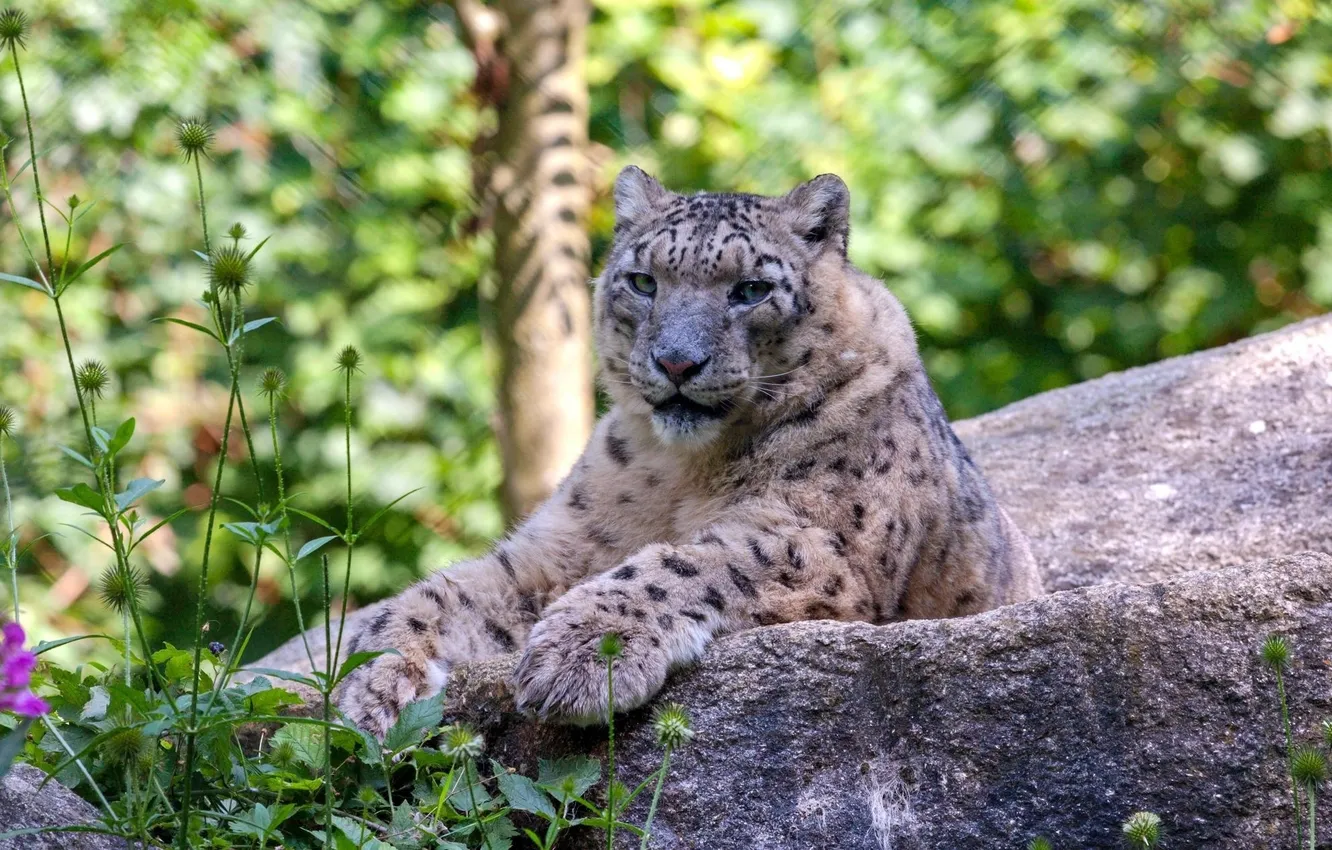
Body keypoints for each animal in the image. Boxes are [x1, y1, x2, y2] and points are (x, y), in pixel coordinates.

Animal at [335, 166, 1043, 736]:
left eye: (752, 289)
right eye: (643, 281)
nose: (677, 361)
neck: (682, 470)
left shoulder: (822, 541)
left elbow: (686, 563)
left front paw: (581, 655)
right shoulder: (565, 546)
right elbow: (445, 592)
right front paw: (368, 687)